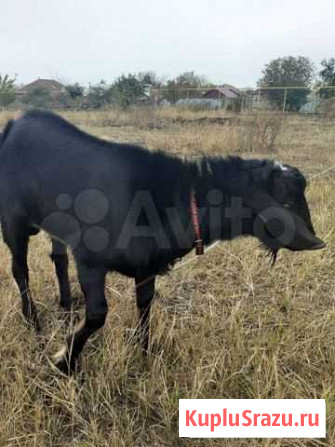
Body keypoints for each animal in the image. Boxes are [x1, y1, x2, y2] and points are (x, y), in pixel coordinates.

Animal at [0, 112, 326, 374]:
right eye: (286, 197)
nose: (317, 243)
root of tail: (16, 125)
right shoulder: (91, 261)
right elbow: (97, 314)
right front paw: (65, 360)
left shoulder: (147, 267)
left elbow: (145, 305)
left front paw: (144, 350)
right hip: (13, 223)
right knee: (20, 269)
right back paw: (32, 320)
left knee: (58, 258)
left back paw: (66, 306)